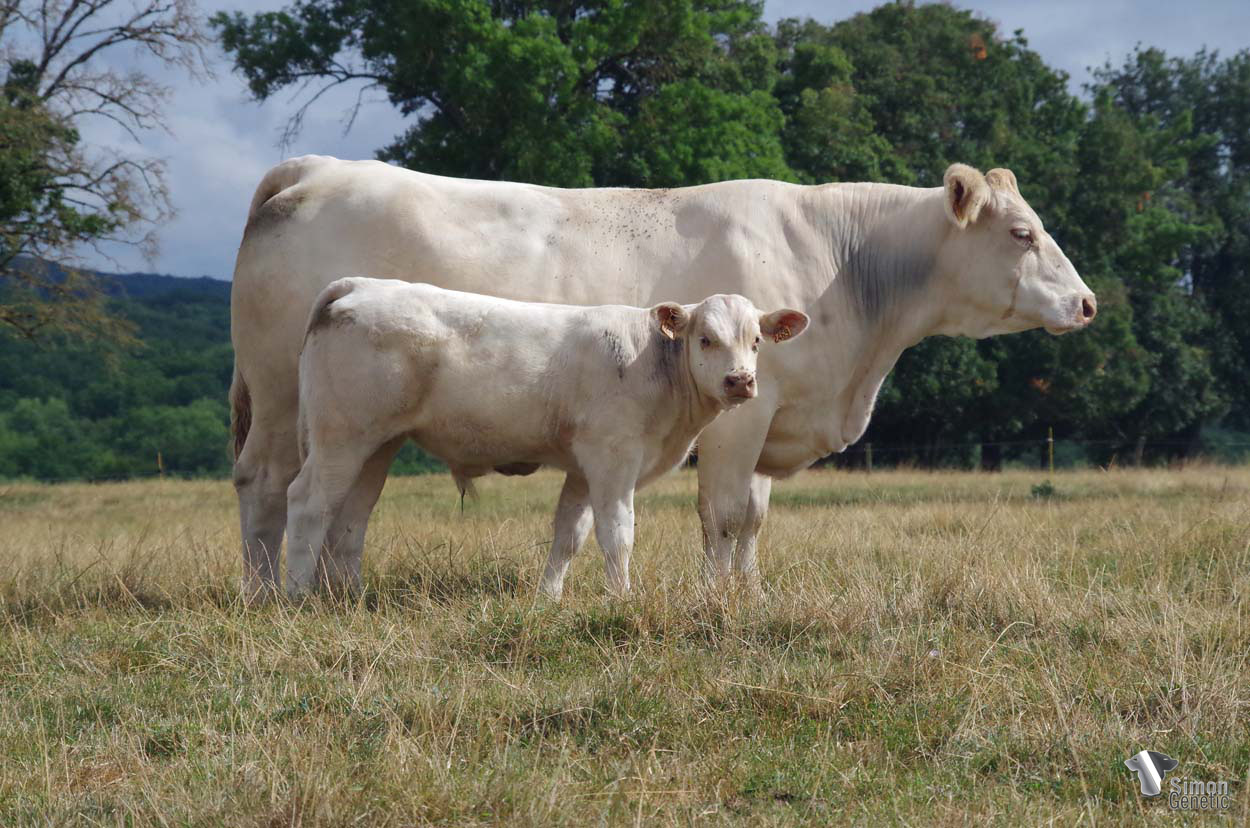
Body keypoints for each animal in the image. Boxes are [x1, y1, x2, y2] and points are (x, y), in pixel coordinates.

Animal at [286, 279, 809, 598]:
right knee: (309, 504)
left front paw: (548, 599)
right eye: (705, 339)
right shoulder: (613, 459)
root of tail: (360, 284)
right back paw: (294, 596)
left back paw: (348, 596)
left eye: (756, 342)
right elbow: (617, 535)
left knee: (351, 516)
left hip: (377, 444)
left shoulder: (582, 468)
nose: (740, 381)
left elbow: (568, 536)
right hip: (341, 436)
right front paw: (622, 598)